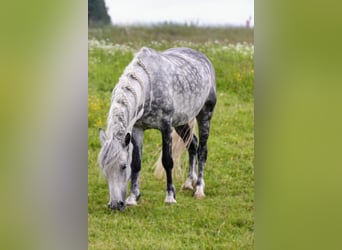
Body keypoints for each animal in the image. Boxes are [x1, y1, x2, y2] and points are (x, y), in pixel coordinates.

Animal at [98, 47, 216, 211]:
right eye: (104, 169)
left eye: (123, 166)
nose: (115, 205)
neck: (149, 87)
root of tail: (203, 57)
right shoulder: (137, 129)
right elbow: (136, 163)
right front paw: (133, 198)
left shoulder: (166, 127)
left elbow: (167, 161)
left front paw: (170, 197)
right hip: (181, 122)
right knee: (192, 144)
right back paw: (188, 183)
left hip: (205, 114)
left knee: (202, 151)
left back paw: (199, 189)